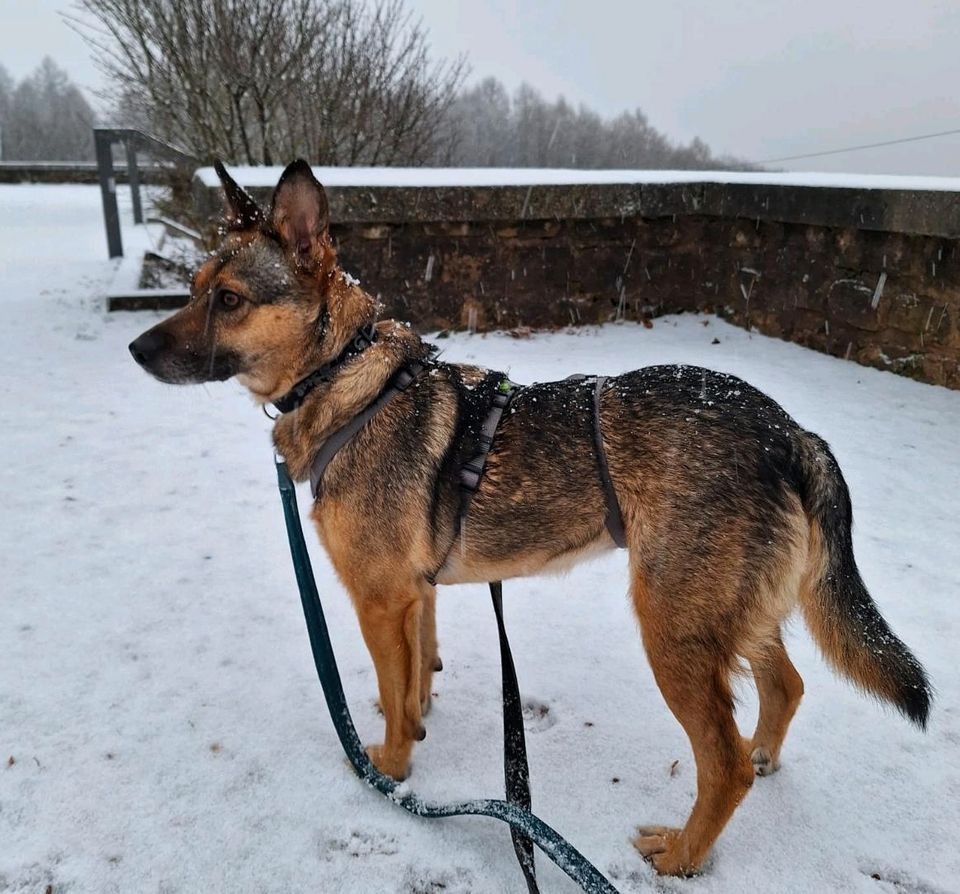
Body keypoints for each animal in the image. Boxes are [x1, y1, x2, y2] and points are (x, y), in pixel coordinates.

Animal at [129, 159, 928, 876]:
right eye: (193, 290)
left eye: (229, 300)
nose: (135, 348)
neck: (347, 378)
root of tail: (790, 431)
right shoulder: (416, 595)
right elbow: (414, 679)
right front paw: (418, 723)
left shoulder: (378, 600)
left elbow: (388, 698)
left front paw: (390, 769)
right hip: (729, 611)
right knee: (786, 686)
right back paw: (762, 758)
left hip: (674, 626)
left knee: (722, 763)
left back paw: (682, 857)